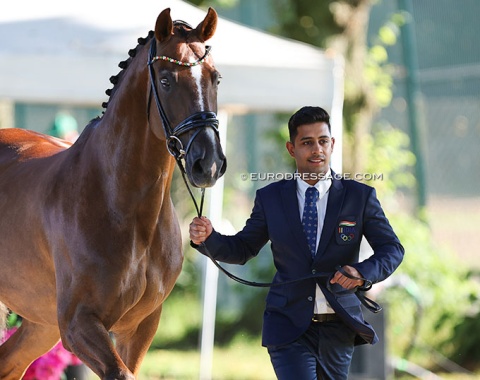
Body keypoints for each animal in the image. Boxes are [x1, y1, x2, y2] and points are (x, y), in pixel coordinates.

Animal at [0, 7, 225, 378]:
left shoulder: (141, 326)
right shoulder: (78, 325)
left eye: (215, 78)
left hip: (39, 325)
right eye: (166, 80)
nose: (208, 163)